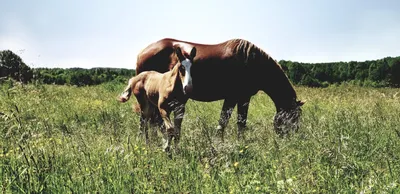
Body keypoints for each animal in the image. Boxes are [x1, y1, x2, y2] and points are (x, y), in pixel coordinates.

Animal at [134, 38, 304, 137]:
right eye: (294, 117)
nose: (293, 138)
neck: (251, 60)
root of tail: (141, 53)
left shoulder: (242, 98)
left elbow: (237, 123)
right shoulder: (234, 98)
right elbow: (228, 122)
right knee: (146, 120)